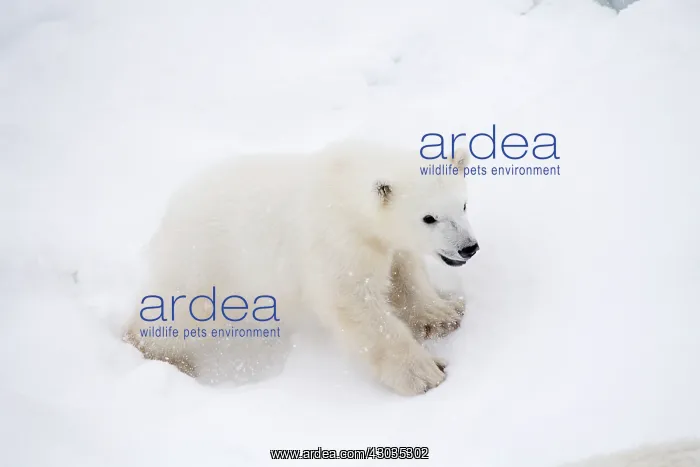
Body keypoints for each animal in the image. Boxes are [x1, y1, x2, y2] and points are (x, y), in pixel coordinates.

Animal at [124, 140, 479, 395]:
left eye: (463, 204)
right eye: (429, 217)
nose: (468, 247)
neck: (343, 185)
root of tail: (170, 211)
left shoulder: (382, 241)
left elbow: (404, 270)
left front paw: (443, 314)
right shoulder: (334, 239)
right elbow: (355, 305)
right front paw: (426, 372)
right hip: (204, 261)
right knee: (177, 309)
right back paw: (160, 352)